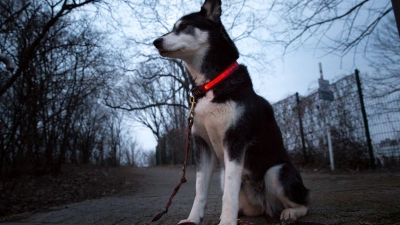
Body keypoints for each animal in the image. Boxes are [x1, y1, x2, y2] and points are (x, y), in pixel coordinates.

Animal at [153, 0, 310, 223]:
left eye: (183, 26)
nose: (155, 42)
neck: (210, 84)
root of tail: (264, 206)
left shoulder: (235, 141)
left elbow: (229, 192)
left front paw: (226, 221)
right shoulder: (203, 145)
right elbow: (200, 190)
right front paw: (193, 219)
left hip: (276, 172)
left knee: (304, 202)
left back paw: (290, 213)